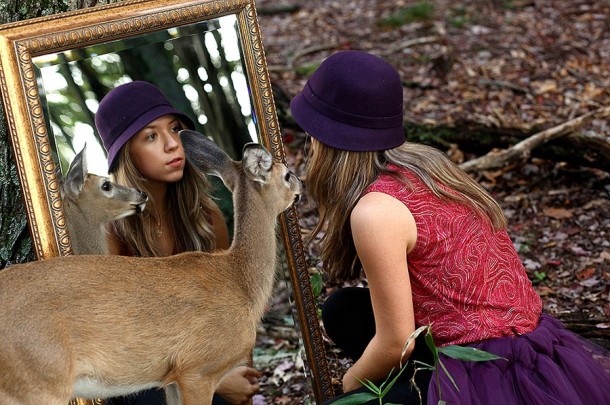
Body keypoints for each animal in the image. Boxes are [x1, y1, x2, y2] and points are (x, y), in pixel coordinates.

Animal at [0, 130, 302, 404]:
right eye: (286, 175)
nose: (300, 183)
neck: (239, 280)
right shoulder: (198, 368)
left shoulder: (171, 379)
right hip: (39, 380)